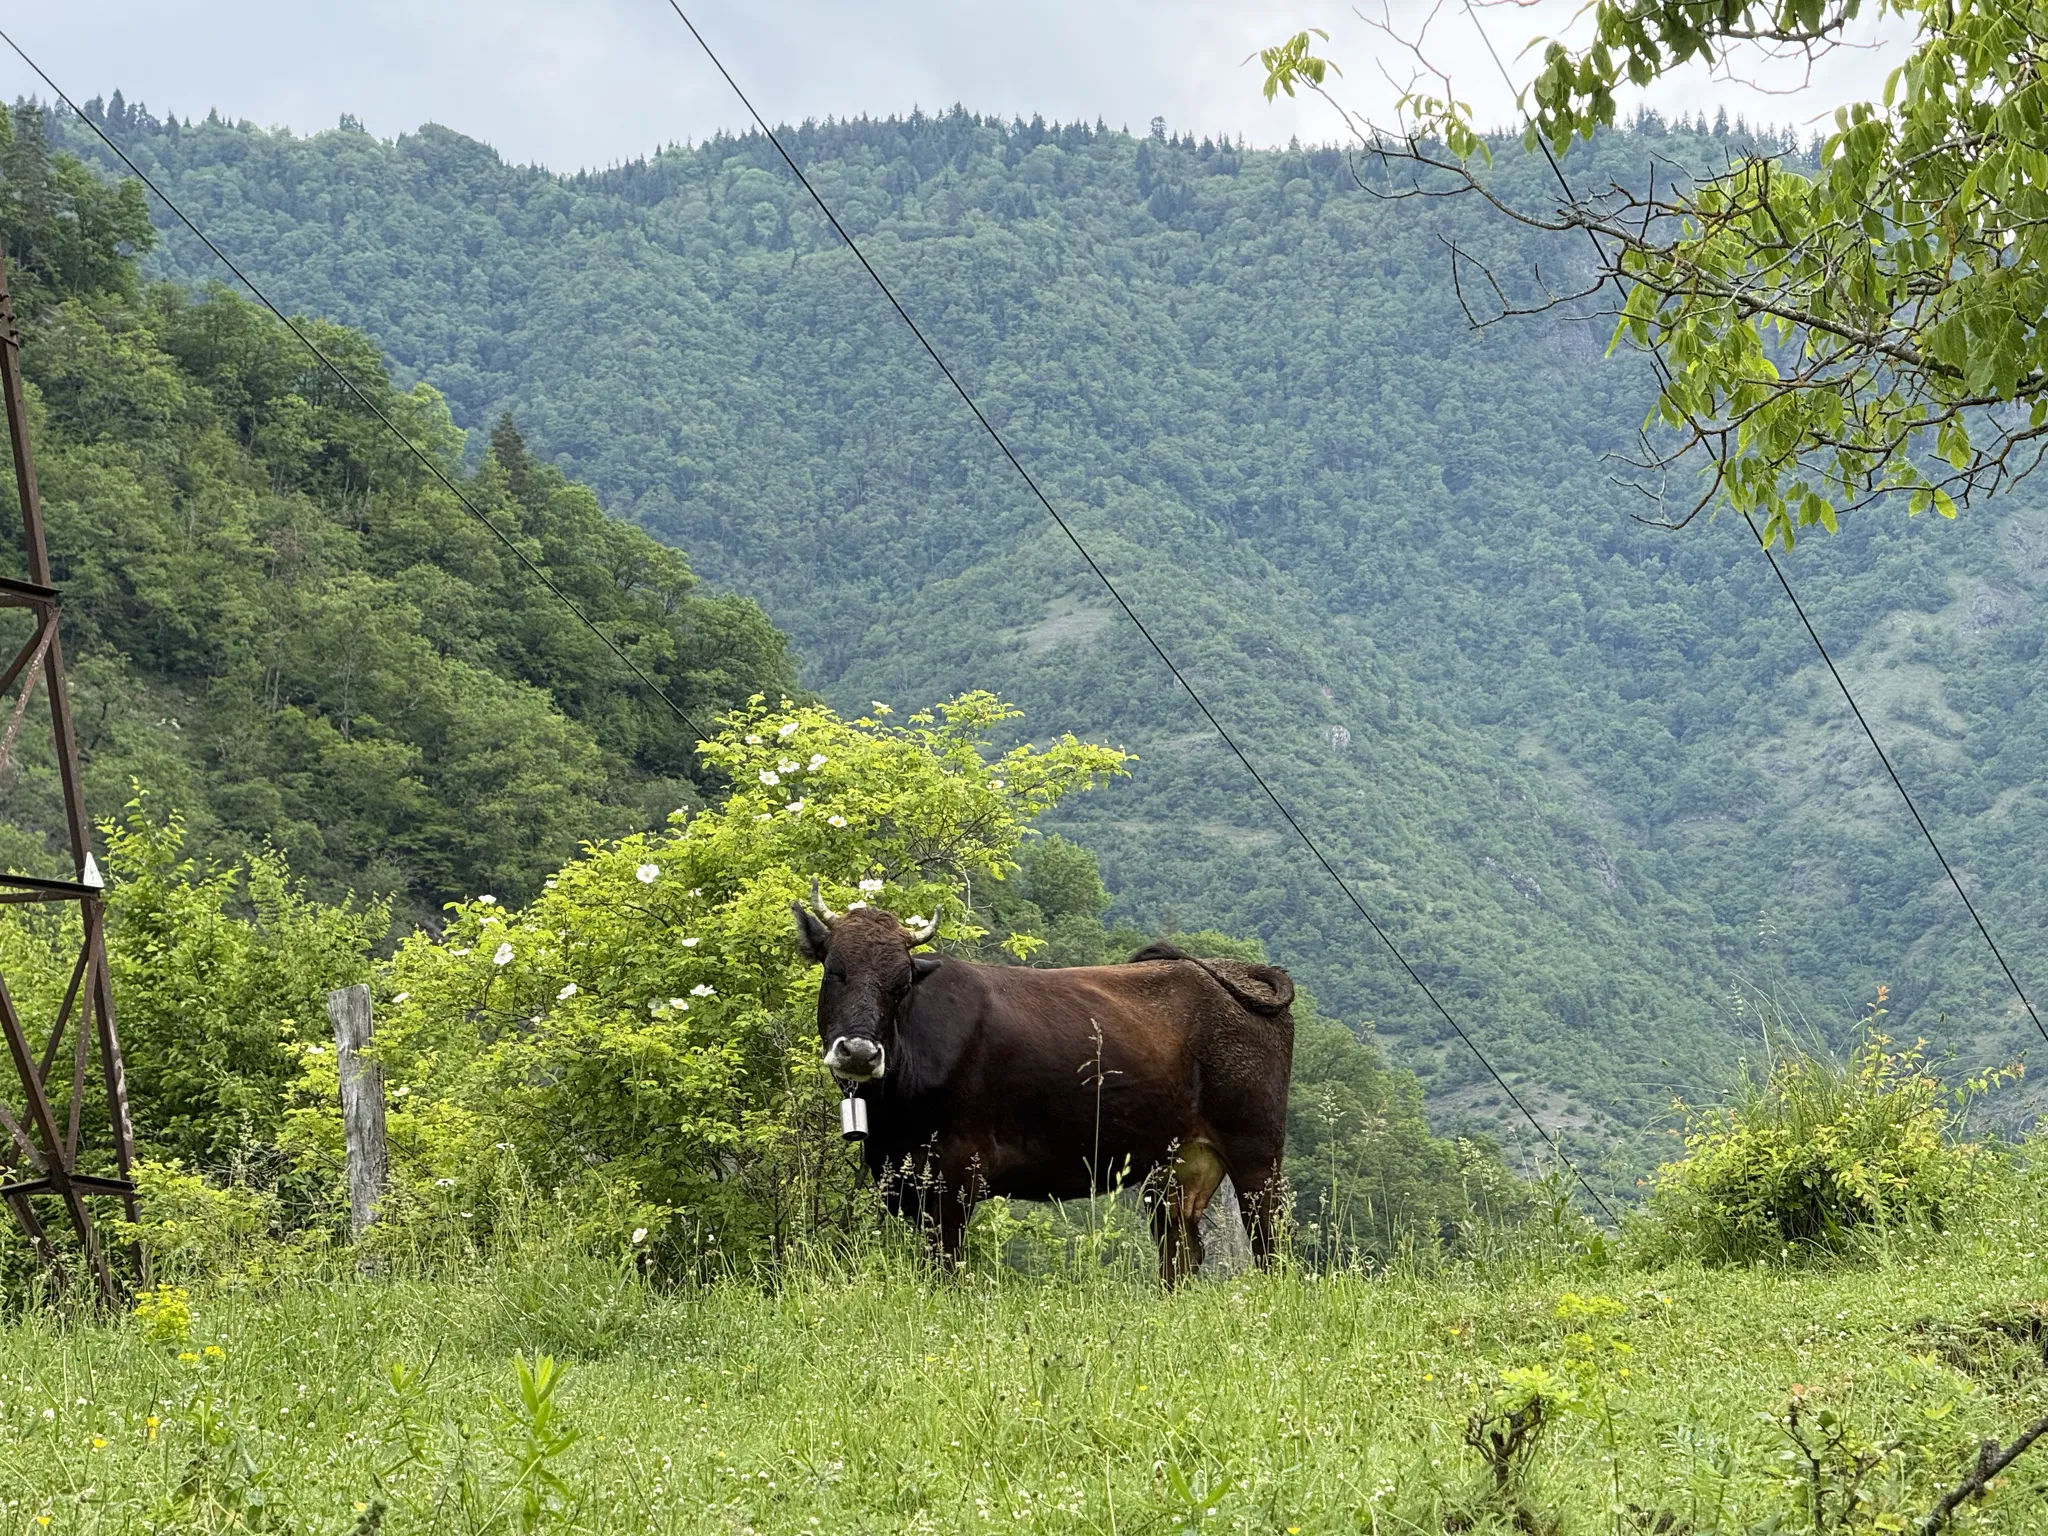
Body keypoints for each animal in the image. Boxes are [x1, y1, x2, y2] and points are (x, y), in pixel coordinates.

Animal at [790, 882, 1295, 1283]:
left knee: (1269, 1239)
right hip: (1175, 1165)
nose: (859, 1052)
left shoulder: (957, 1170)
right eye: (834, 970)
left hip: (1256, 1150)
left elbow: (945, 1265)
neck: (893, 1114)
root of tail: (1232, 969)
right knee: (1181, 1252)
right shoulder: (902, 1176)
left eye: (901, 984)